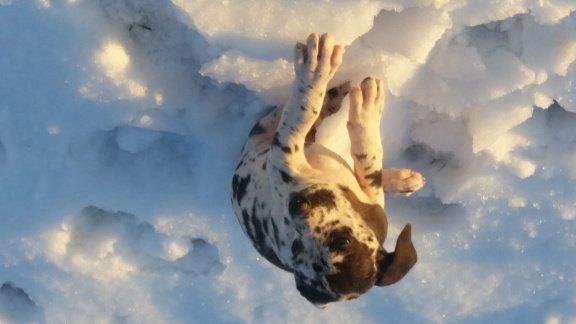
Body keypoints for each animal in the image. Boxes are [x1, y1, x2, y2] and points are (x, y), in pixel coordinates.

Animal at [232, 33, 426, 306]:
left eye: (343, 241)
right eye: (296, 248)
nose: (295, 205)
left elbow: (368, 164)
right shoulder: (283, 155)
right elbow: (305, 110)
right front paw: (317, 70)